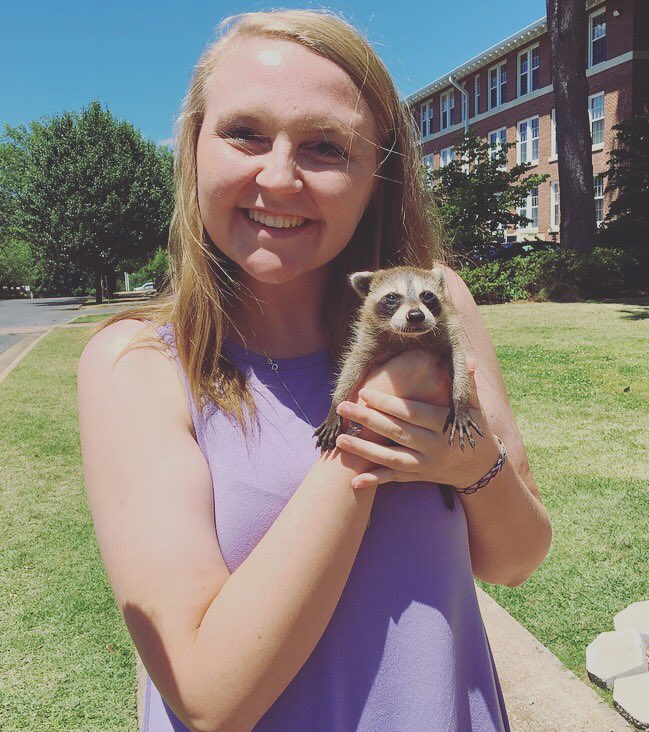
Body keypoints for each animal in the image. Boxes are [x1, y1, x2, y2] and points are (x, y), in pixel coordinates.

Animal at [313, 265, 484, 511]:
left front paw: (460, 402)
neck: (409, 338)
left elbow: (459, 359)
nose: (416, 316)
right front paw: (337, 402)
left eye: (427, 295)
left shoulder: (449, 331)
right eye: (392, 297)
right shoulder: (368, 340)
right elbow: (352, 366)